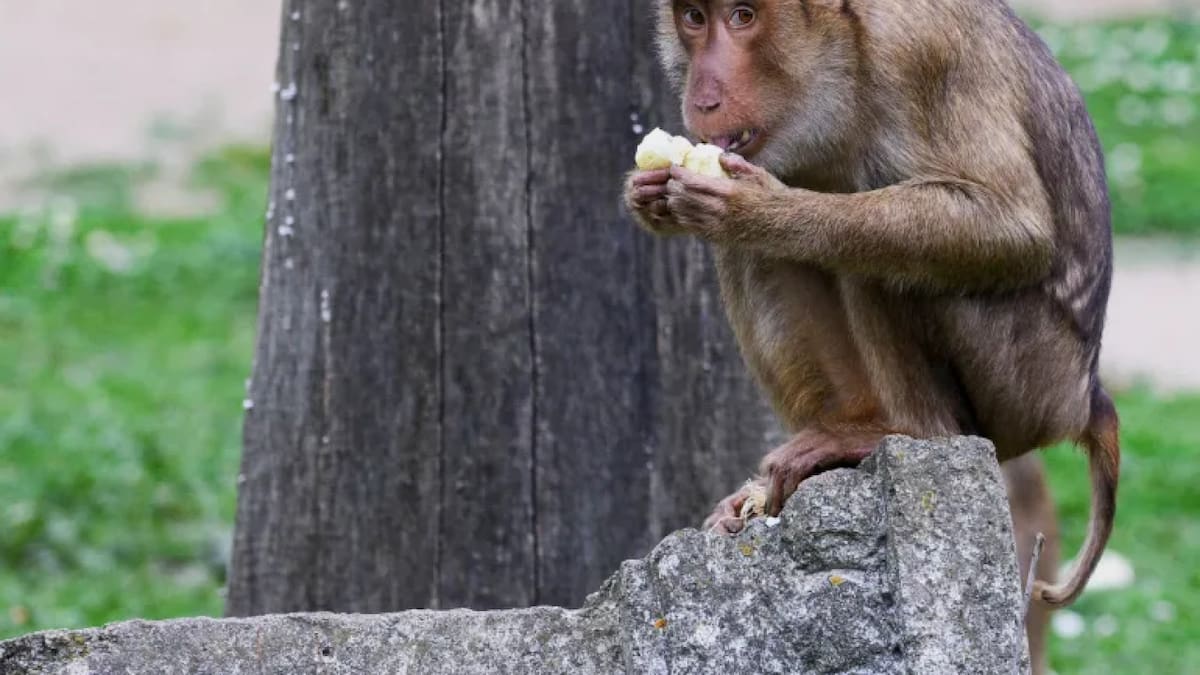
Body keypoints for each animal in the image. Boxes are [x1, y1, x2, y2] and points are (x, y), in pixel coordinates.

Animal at [623, 0, 1118, 614]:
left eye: (742, 17)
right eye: (695, 18)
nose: (703, 98)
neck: (847, 53)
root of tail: (1085, 396)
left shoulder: (921, 50)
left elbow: (1011, 228)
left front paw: (754, 210)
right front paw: (647, 195)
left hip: (1025, 380)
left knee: (881, 254)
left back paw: (911, 432)